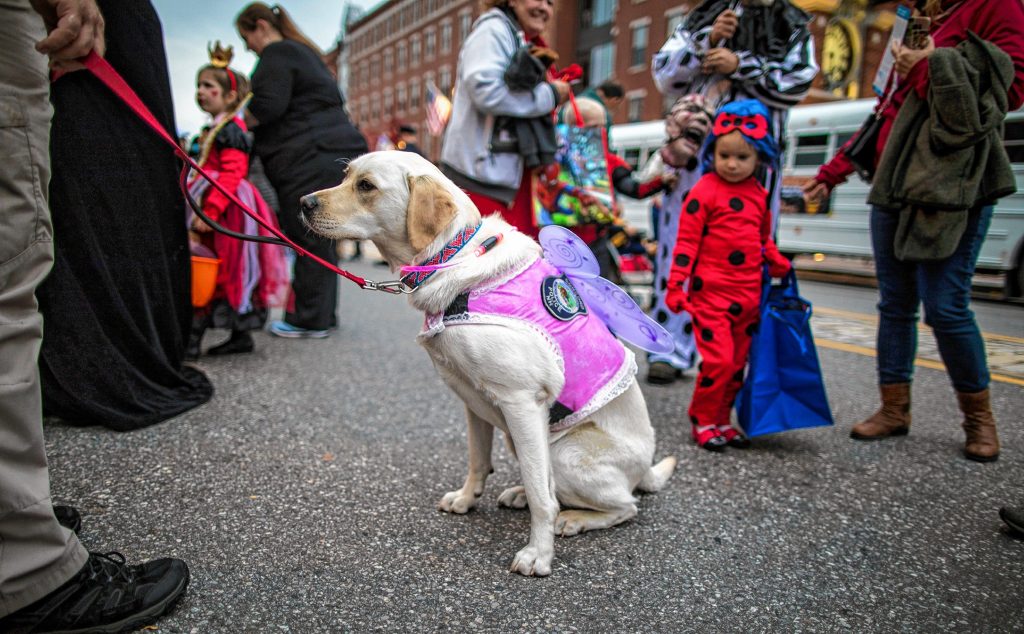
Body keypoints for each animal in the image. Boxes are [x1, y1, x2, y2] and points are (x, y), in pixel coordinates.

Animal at [299, 151, 675, 577]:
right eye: (346, 175)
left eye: (366, 186)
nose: (303, 203)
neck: (451, 258)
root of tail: (646, 468)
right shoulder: (472, 400)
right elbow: (479, 461)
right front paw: (467, 499)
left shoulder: (520, 401)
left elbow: (543, 497)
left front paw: (537, 554)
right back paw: (520, 494)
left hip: (564, 452)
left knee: (622, 505)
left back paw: (574, 518)